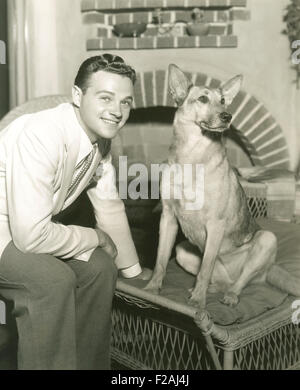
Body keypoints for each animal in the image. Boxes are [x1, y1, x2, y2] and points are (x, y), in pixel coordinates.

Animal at [144, 64, 300, 310]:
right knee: (216, 281)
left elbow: (205, 268)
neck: (192, 157)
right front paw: (152, 289)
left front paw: (198, 304)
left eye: (224, 101)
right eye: (203, 99)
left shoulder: (215, 225)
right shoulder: (168, 218)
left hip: (266, 240)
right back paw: (209, 289)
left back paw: (229, 295)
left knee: (240, 282)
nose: (228, 116)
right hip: (182, 251)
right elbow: (160, 260)